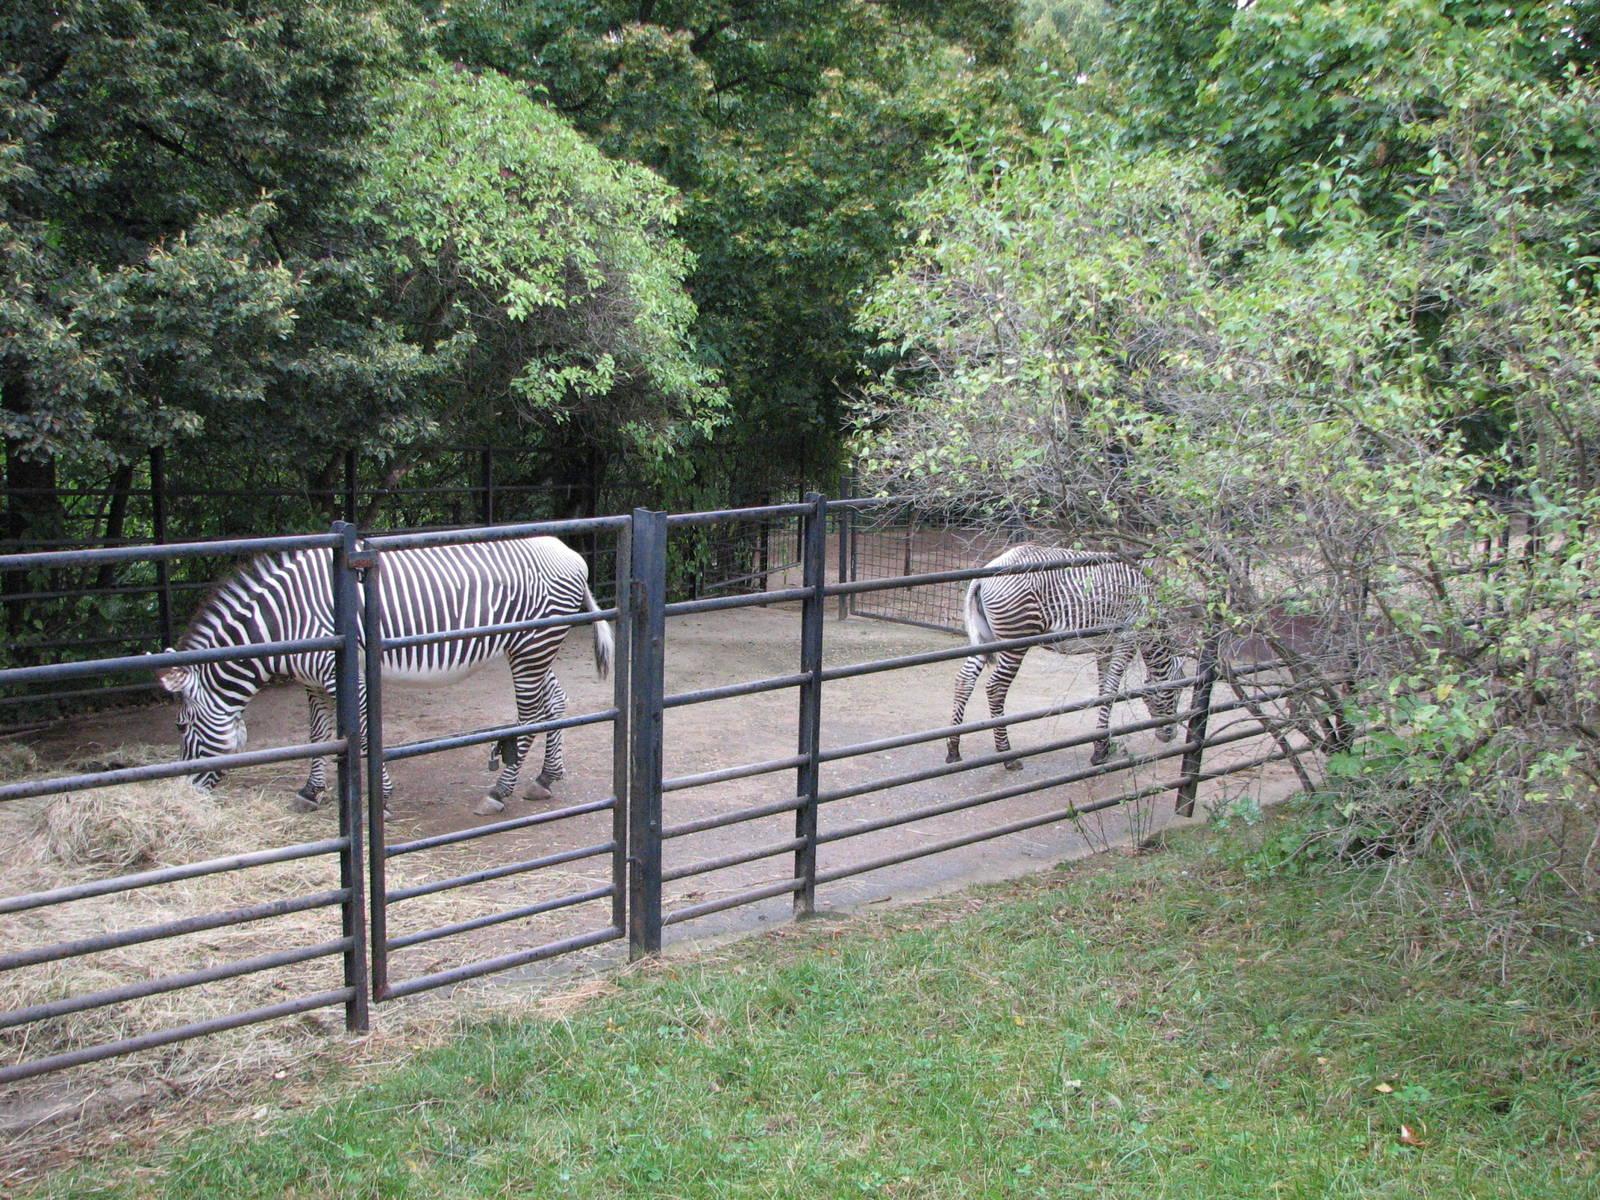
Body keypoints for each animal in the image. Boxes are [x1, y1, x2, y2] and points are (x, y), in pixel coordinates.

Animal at [156, 536, 612, 817]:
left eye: (180, 726)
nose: (186, 796)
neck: (282, 622)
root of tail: (570, 553)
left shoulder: (342, 674)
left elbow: (359, 736)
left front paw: (382, 800)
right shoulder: (312, 682)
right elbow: (318, 735)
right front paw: (310, 792)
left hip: (532, 646)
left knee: (531, 713)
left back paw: (499, 792)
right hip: (531, 649)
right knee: (555, 701)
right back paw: (545, 778)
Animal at [946, 544, 1184, 769]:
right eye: (1178, 691)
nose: (1169, 736)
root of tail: (984, 575)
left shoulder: (1105, 646)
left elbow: (1103, 689)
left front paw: (1103, 742)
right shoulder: (1127, 640)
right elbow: (1111, 691)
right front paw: (1099, 751)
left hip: (986, 637)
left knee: (964, 679)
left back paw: (953, 749)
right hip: (1015, 638)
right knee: (996, 687)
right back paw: (1007, 754)